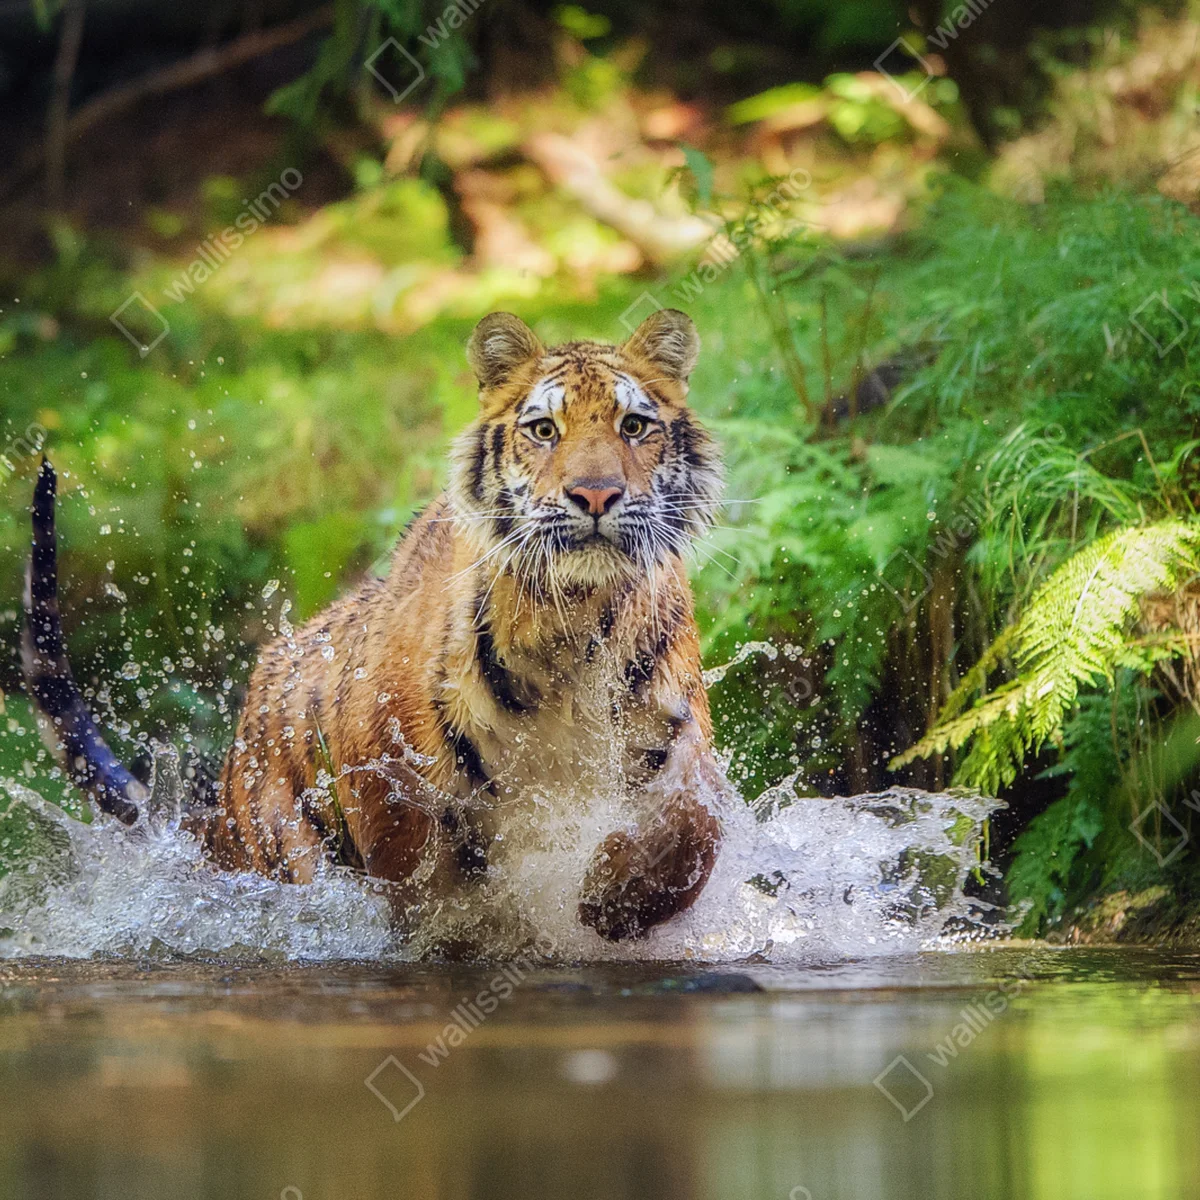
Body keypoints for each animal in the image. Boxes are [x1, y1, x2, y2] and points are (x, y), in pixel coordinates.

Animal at [22, 309, 729, 944]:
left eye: (633, 426)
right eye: (544, 430)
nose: (596, 495)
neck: (571, 622)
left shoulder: (676, 729)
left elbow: (696, 823)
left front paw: (614, 900)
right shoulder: (390, 781)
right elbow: (431, 889)